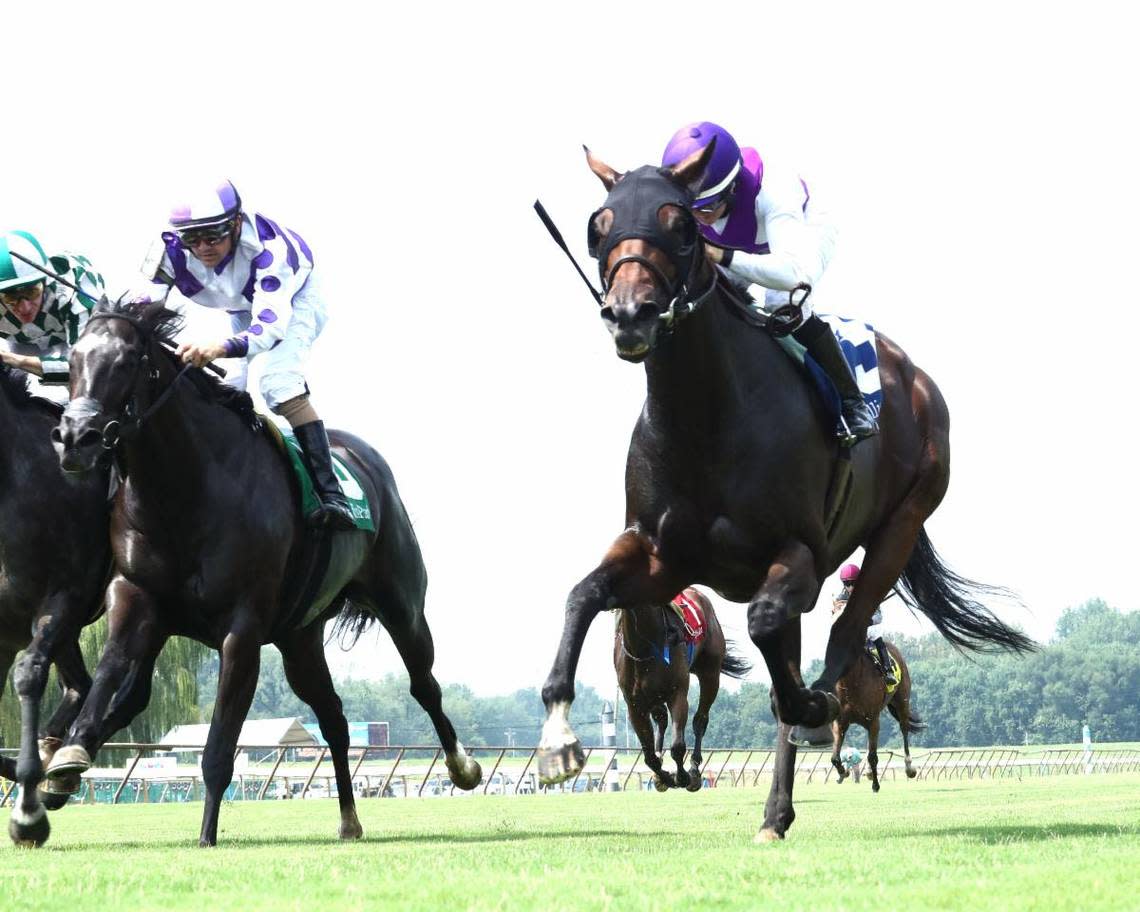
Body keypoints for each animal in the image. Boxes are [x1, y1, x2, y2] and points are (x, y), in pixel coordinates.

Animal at [43, 300, 481, 848]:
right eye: (71, 361)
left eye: (126, 361)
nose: (74, 439)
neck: (183, 491)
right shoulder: (135, 596)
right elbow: (109, 677)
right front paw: (65, 761)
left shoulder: (242, 628)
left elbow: (219, 743)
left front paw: (207, 834)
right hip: (300, 639)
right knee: (334, 717)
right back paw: (348, 819)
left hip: (401, 604)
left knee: (424, 684)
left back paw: (462, 766)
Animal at [615, 592, 747, 788]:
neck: (645, 646)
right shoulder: (635, 704)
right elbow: (649, 756)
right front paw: (663, 776)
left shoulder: (677, 693)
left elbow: (677, 745)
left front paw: (683, 776)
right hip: (654, 695)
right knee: (661, 719)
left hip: (710, 673)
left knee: (700, 719)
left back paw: (694, 768)